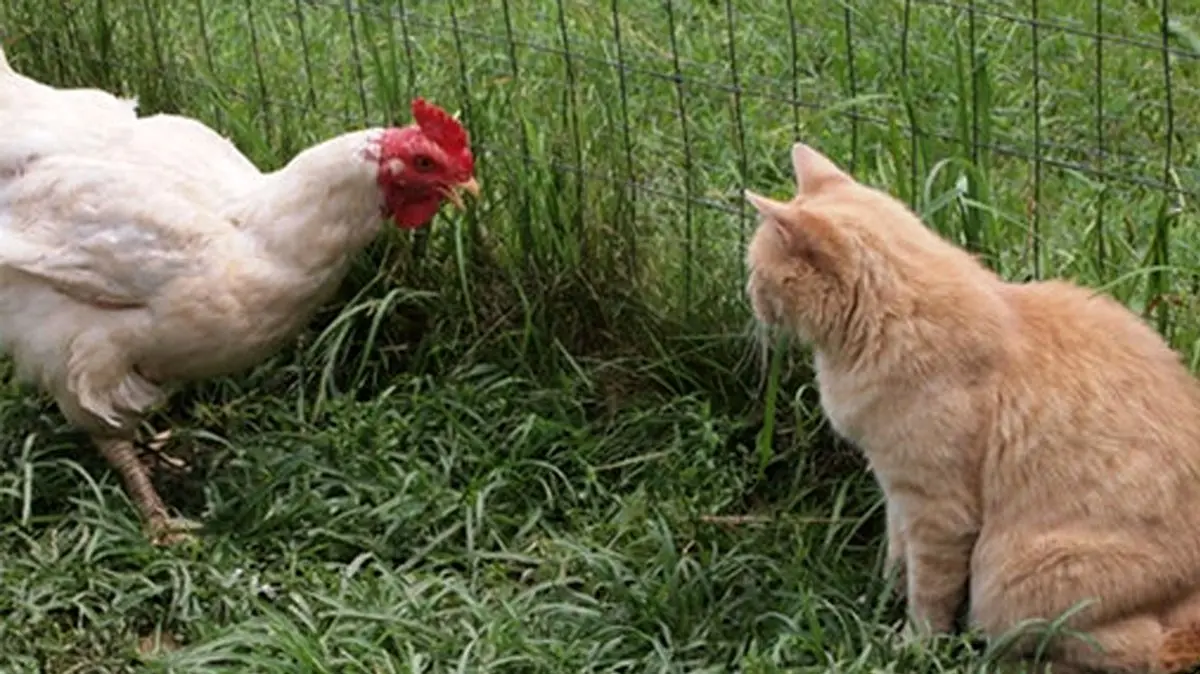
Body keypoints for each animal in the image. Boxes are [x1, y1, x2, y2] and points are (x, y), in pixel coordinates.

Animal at [743, 141, 1200, 673]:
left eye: (755, 271)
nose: (749, 298)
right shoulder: (897, 487)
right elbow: (896, 553)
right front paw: (878, 602)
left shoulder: (938, 509)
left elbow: (929, 591)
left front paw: (911, 644)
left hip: (1007, 579)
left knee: (1141, 648)